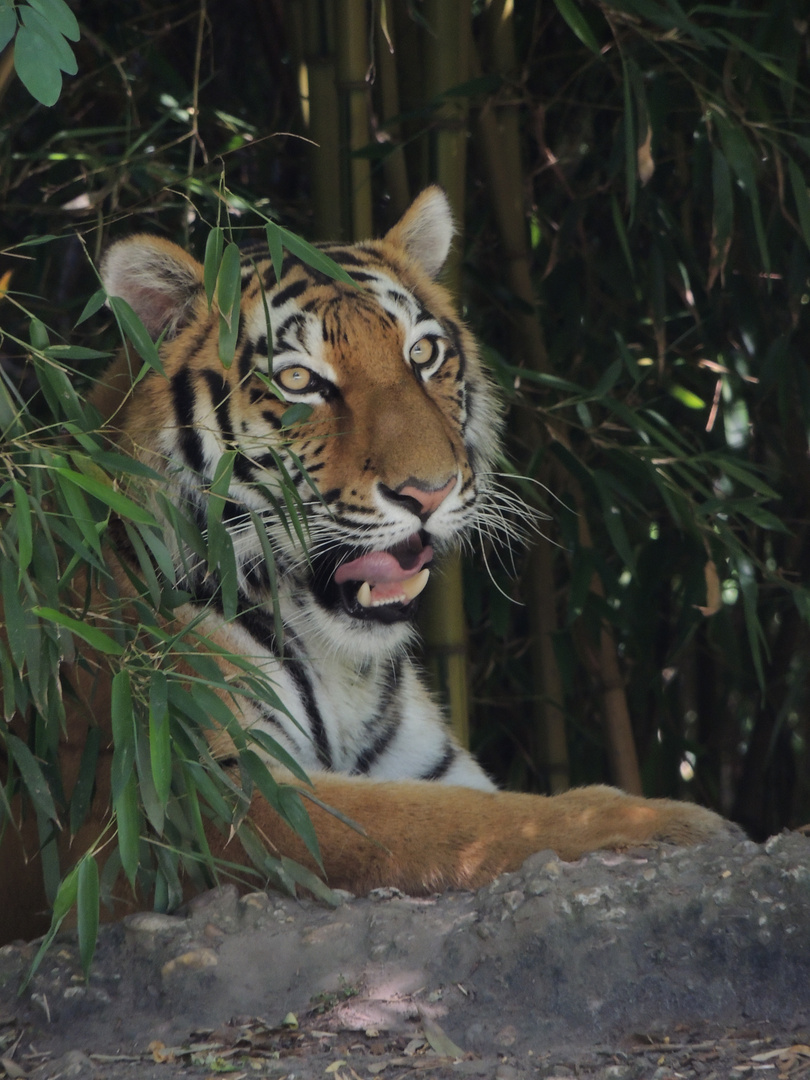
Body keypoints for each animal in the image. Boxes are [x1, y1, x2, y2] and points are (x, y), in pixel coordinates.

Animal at [0, 187, 734, 946]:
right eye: (299, 379)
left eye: (423, 352)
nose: (430, 491)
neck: (341, 664)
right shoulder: (198, 800)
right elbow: (448, 823)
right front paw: (667, 818)